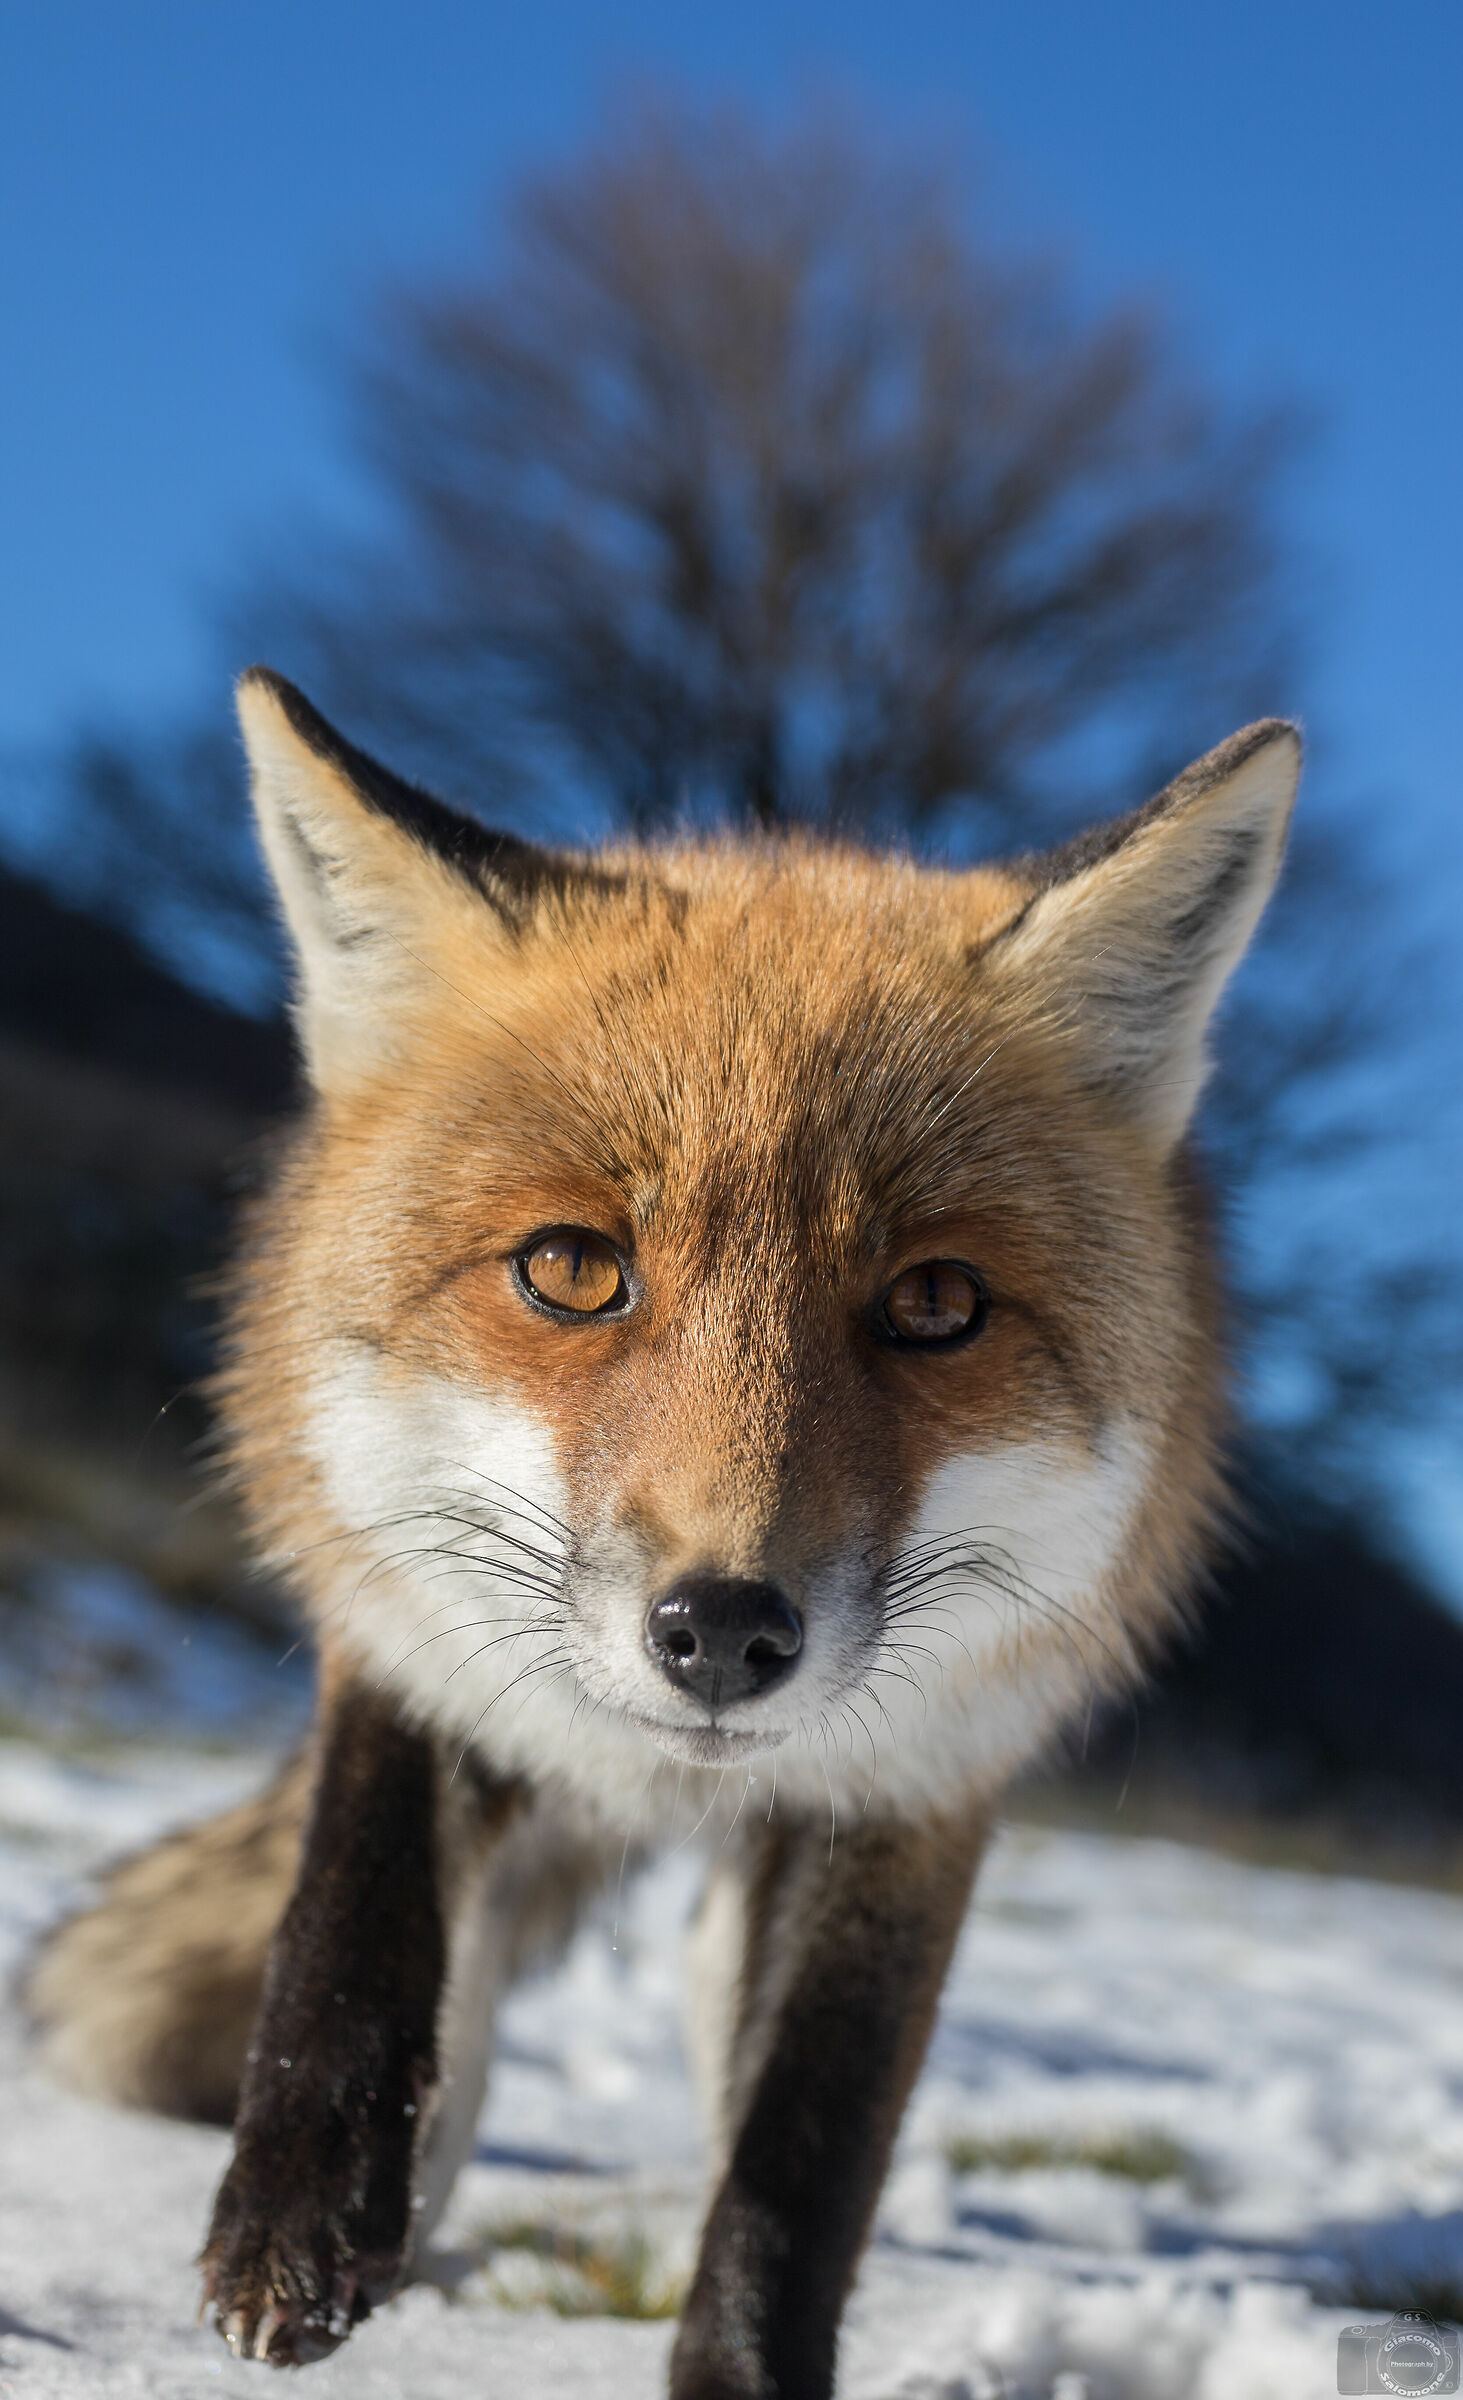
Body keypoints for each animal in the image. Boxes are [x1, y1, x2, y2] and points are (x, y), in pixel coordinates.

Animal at [26, 668, 1300, 2395]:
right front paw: (297, 2222)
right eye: (571, 1269)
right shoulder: (409, 1623)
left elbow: (804, 2154)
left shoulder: (915, 1791)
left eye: (934, 1303)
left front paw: (743, 2367)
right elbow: (355, 1914)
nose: (722, 1631)